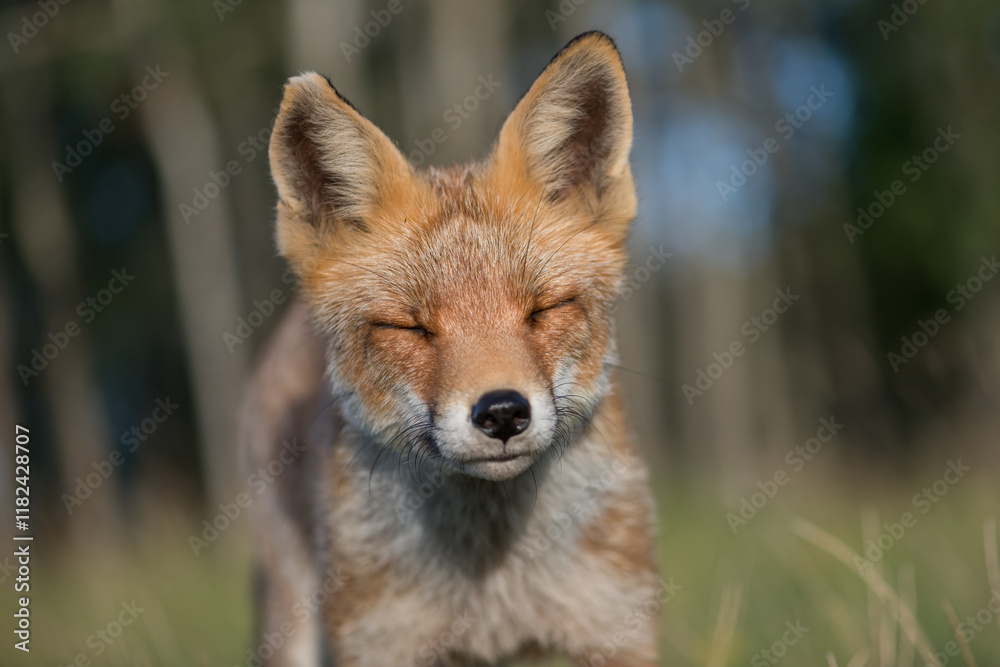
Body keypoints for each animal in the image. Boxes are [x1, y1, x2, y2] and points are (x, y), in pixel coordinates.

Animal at [242, 31, 661, 666]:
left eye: (543, 310)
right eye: (411, 328)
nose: (503, 413)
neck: (493, 587)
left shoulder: (616, 626)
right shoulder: (378, 643)